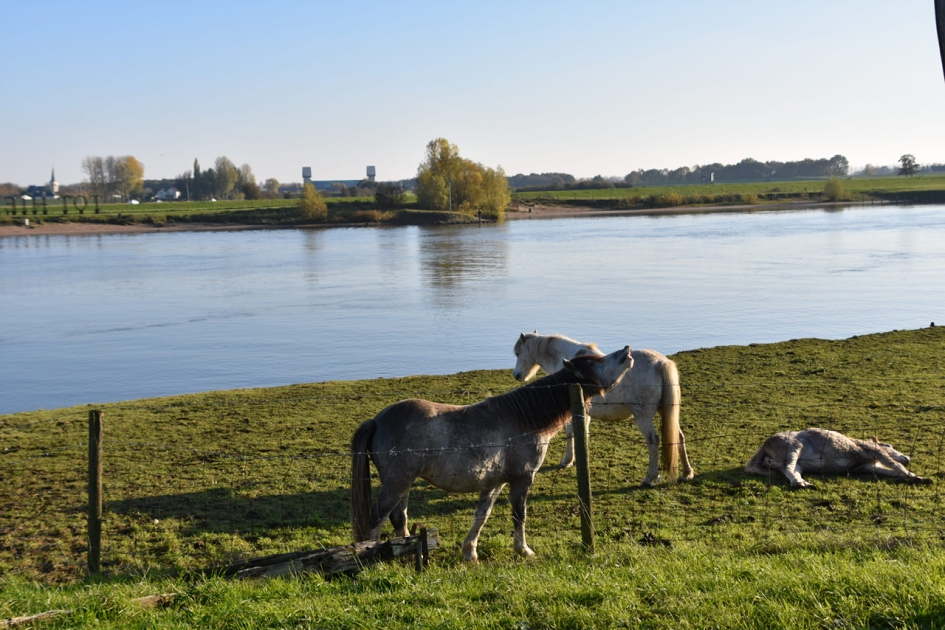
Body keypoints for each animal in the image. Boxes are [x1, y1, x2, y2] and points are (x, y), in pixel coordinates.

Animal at [350, 346, 633, 563]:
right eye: (594, 363)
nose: (627, 351)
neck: (524, 420)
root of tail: (377, 420)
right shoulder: (522, 479)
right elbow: (519, 515)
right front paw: (523, 550)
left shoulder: (495, 482)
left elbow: (481, 516)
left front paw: (470, 552)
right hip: (396, 483)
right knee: (377, 518)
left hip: (404, 484)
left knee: (399, 518)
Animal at [513, 332, 694, 486]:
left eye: (517, 353)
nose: (516, 375)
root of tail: (661, 362)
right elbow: (582, 434)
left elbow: (570, 434)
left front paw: (566, 461)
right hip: (667, 412)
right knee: (679, 436)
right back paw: (687, 474)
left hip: (643, 417)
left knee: (653, 440)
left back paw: (650, 478)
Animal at [745, 428, 933, 488]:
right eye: (890, 446)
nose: (907, 457)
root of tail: (766, 443)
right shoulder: (875, 452)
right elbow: (895, 465)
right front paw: (918, 477)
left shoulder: (867, 467)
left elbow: (891, 471)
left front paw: (915, 478)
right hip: (793, 449)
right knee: (790, 469)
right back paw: (800, 484)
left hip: (793, 462)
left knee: (789, 470)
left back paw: (804, 483)